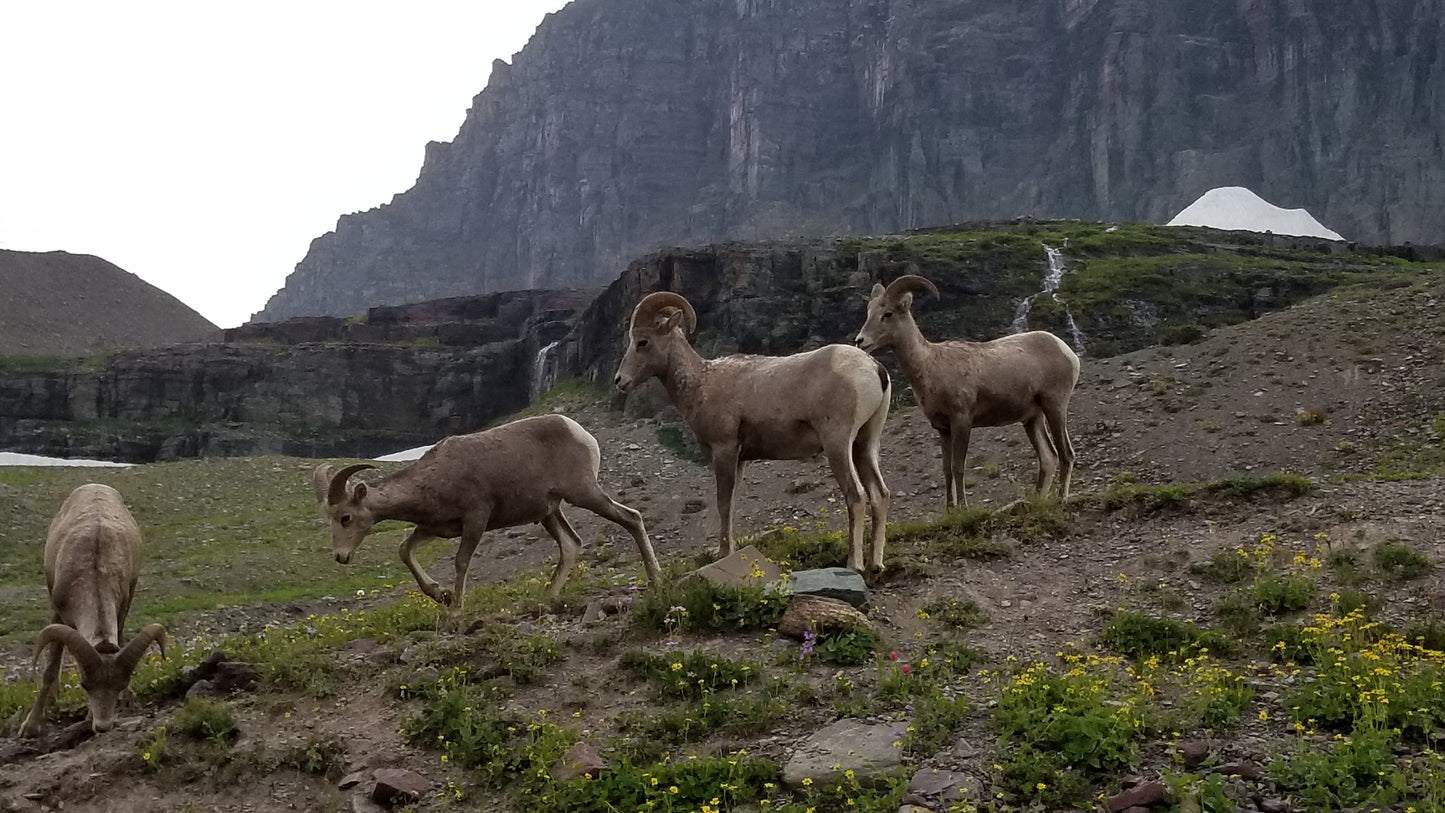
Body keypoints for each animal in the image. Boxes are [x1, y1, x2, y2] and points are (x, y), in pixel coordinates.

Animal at [20, 488, 166, 739]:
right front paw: (30, 727)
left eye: (118, 686)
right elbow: (49, 670)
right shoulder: (59, 614)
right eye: (85, 685)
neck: (94, 572)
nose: (103, 726)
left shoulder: (122, 607)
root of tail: (96, 485)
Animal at [320, 412, 661, 618]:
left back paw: (656, 578)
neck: (436, 476)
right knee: (571, 545)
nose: (341, 557)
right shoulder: (434, 529)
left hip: (584, 494)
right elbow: (405, 551)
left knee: (631, 518)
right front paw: (440, 595)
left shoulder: (476, 519)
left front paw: (455, 609)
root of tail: (580, 432)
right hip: (549, 512)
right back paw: (545, 598)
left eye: (345, 517)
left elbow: (461, 562)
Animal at [609, 291, 890, 571]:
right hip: (864, 444)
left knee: (856, 495)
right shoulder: (740, 459)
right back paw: (876, 565)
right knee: (879, 494)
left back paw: (854, 564)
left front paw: (723, 553)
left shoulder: (724, 450)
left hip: (838, 445)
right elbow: (732, 504)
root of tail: (875, 368)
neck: (701, 383)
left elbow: (723, 503)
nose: (620, 381)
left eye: (643, 342)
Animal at [849, 275, 1080, 508]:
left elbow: (958, 467)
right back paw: (1038, 500)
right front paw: (950, 509)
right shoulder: (943, 429)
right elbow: (946, 470)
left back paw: (1062, 499)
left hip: (1054, 407)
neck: (930, 365)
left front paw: (963, 507)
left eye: (888, 314)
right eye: (869, 312)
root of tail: (1066, 351)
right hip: (1032, 419)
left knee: (1066, 454)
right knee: (1048, 457)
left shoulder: (962, 421)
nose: (860, 341)